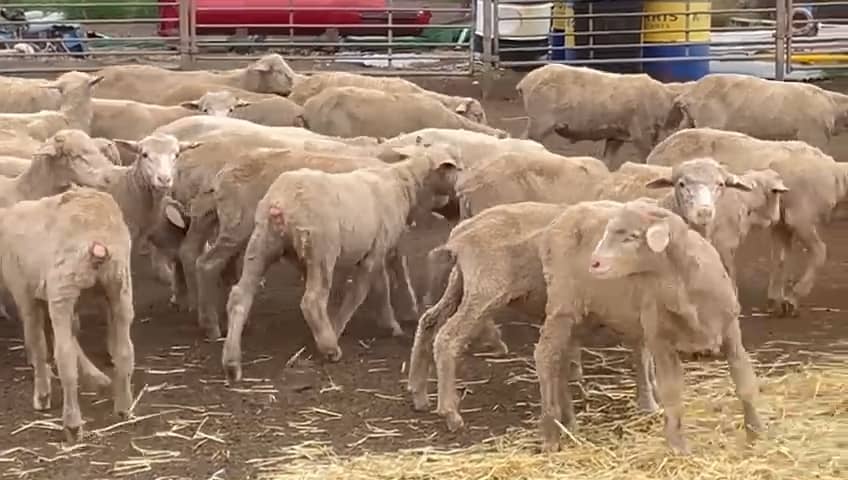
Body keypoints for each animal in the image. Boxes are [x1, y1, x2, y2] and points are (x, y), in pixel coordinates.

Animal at [0, 187, 134, 441]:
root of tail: (97, 239)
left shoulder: (25, 293)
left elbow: (37, 343)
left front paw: (42, 395)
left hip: (63, 287)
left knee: (64, 359)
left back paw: (72, 425)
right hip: (119, 286)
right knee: (125, 351)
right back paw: (124, 408)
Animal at [190, 147, 419, 341]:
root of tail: (223, 172)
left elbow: (394, 270)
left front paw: (406, 313)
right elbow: (384, 278)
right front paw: (396, 320)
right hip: (239, 227)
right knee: (207, 264)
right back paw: (211, 325)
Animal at [221, 143, 460, 382]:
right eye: (453, 168)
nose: (456, 208)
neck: (404, 184)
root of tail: (282, 203)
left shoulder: (377, 252)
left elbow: (381, 289)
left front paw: (390, 324)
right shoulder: (374, 254)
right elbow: (360, 294)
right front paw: (338, 329)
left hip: (262, 243)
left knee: (239, 295)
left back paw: (232, 362)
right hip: (322, 249)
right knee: (312, 301)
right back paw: (330, 348)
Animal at [516, 63, 687, 169]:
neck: (661, 100)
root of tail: (525, 82)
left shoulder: (617, 134)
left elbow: (607, 160)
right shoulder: (641, 134)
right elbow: (646, 159)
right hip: (540, 122)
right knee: (524, 140)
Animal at [535, 199, 762, 453]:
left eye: (632, 236)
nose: (594, 263)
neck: (682, 285)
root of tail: (557, 221)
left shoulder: (731, 330)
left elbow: (745, 381)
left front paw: (756, 433)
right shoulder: (660, 339)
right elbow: (672, 393)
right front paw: (677, 447)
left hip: (586, 313)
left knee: (562, 360)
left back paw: (569, 424)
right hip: (562, 303)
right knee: (546, 356)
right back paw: (551, 434)